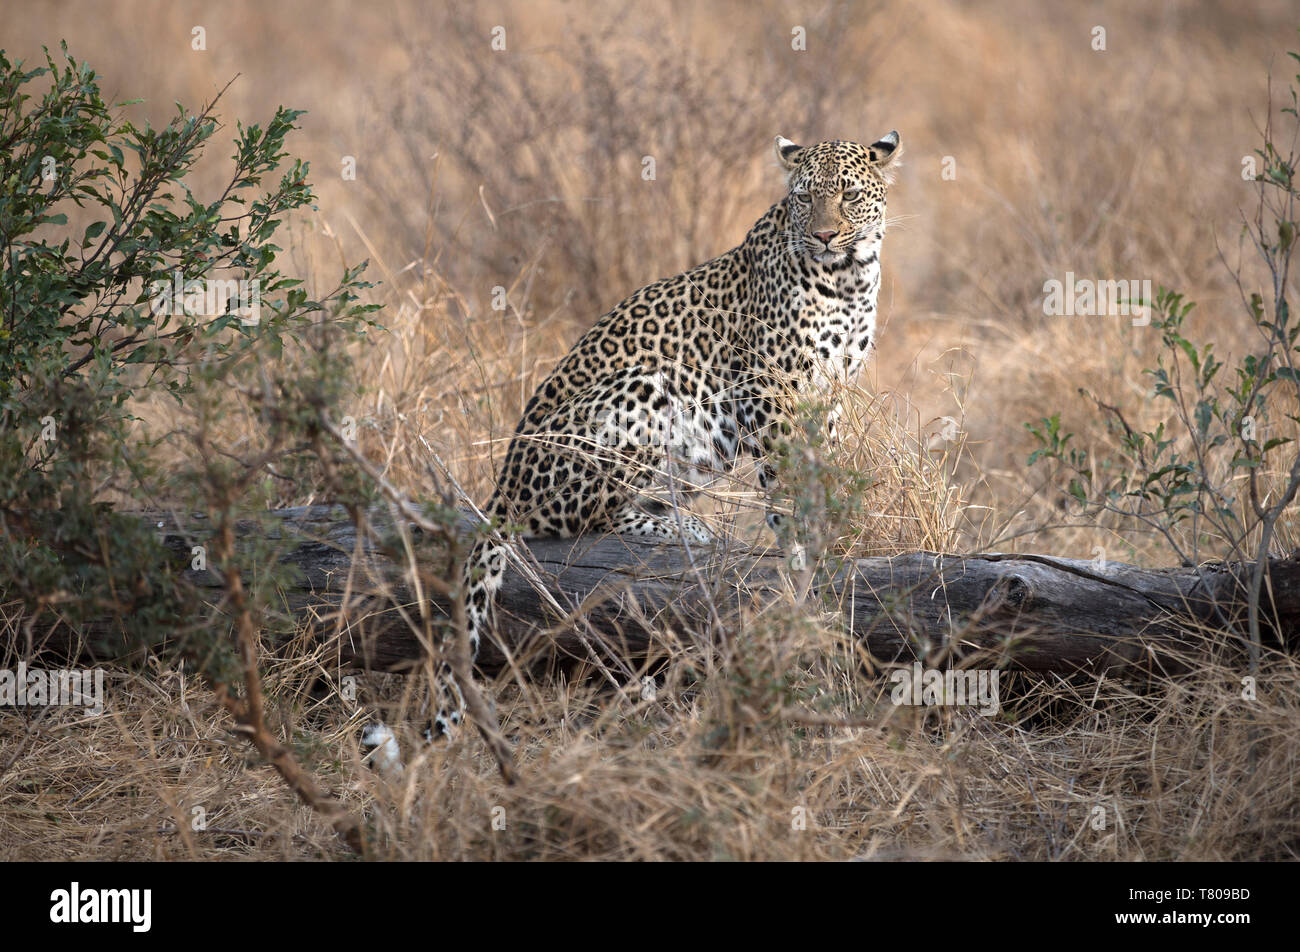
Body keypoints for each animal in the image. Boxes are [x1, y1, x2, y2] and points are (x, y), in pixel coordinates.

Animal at [361, 132, 899, 775]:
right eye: (804, 198)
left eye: (848, 195)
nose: (823, 235)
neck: (848, 279)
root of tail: (502, 487)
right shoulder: (768, 389)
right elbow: (788, 485)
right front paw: (801, 549)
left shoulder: (829, 394)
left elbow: (825, 472)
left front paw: (832, 535)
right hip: (647, 388)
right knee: (594, 518)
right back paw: (686, 530)